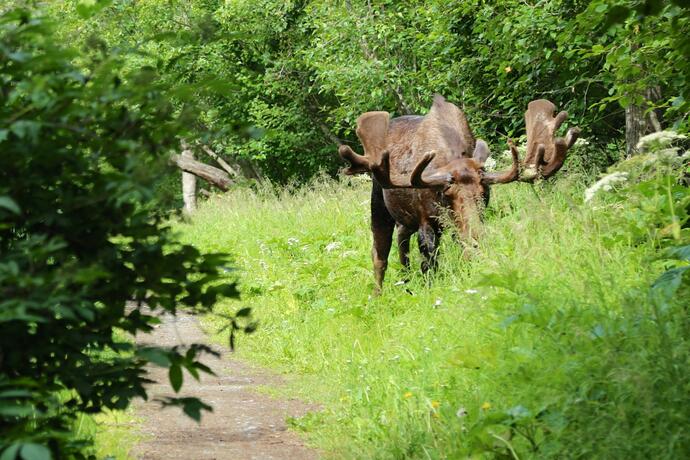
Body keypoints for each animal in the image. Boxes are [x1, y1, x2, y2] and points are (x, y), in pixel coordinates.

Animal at [338, 95, 580, 292]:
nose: (477, 237)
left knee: (402, 240)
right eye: (446, 193)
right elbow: (429, 262)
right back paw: (378, 294)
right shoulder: (427, 219)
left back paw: (406, 280)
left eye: (484, 192)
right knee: (379, 254)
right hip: (379, 203)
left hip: (406, 219)